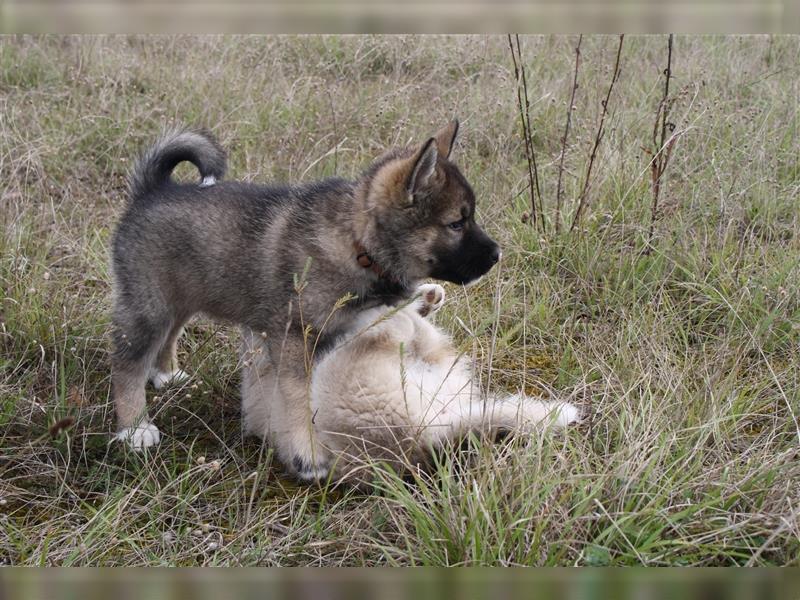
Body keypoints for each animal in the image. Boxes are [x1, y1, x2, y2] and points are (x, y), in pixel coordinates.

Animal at [111, 119, 500, 480]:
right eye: (456, 223)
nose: (498, 255)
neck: (357, 242)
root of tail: (152, 190)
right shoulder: (293, 338)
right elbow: (298, 398)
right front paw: (306, 453)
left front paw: (424, 297)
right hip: (149, 305)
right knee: (128, 364)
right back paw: (134, 428)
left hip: (181, 297)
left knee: (170, 334)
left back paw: (166, 374)